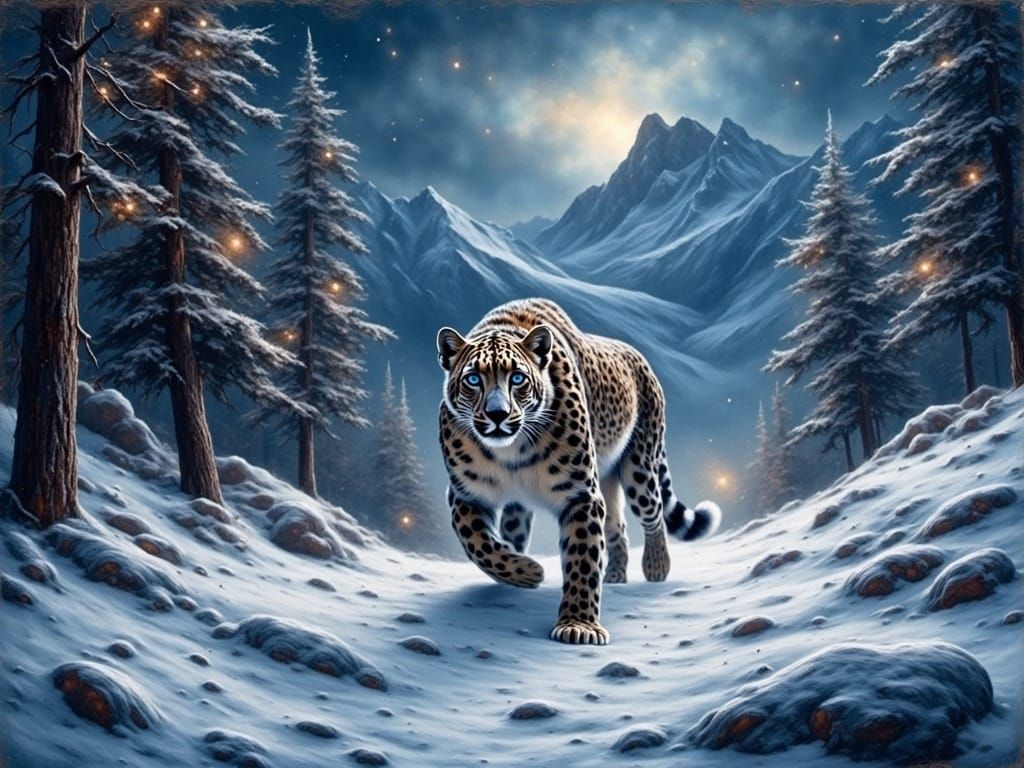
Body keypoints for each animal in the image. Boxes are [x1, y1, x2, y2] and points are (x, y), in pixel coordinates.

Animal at [436, 298, 721, 645]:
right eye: (473, 380)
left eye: (517, 379)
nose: (497, 414)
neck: (512, 451)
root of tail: (638, 357)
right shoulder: (466, 493)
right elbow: (479, 544)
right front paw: (525, 572)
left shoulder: (581, 494)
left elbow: (582, 558)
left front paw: (578, 625)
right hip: (597, 482)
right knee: (614, 525)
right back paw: (614, 573)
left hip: (640, 467)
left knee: (652, 512)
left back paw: (656, 566)